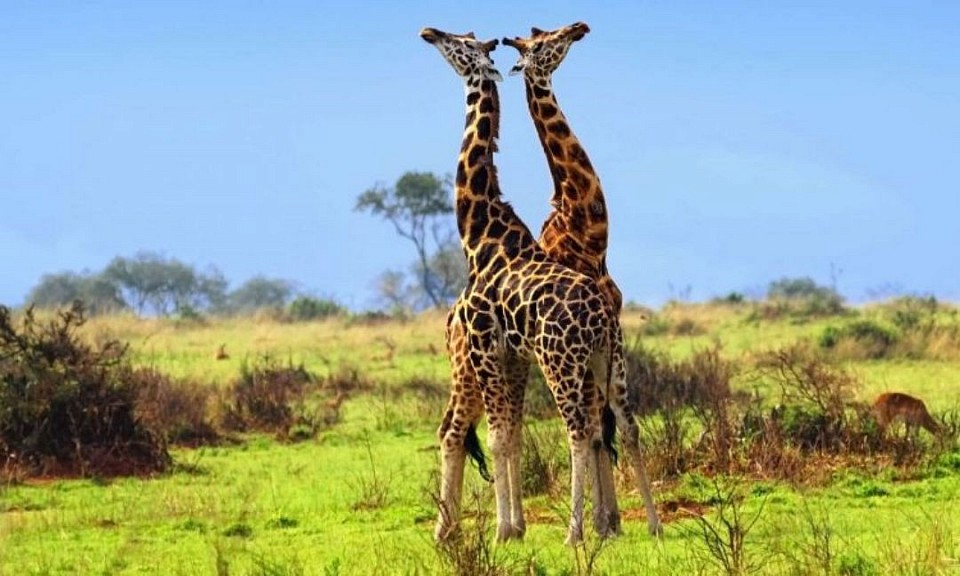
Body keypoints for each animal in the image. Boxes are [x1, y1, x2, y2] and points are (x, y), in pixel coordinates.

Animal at [421, 27, 619, 544]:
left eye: (463, 45)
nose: (429, 32)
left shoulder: (495, 350)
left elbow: (505, 435)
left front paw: (508, 528)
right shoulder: (505, 354)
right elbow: (508, 434)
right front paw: (513, 526)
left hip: (528, 361)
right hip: (480, 366)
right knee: (453, 428)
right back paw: (447, 530)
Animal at [504, 22, 662, 536]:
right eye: (545, 42)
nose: (579, 26)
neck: (589, 235)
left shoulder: (611, 329)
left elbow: (606, 425)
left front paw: (612, 520)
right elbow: (594, 427)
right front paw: (602, 521)